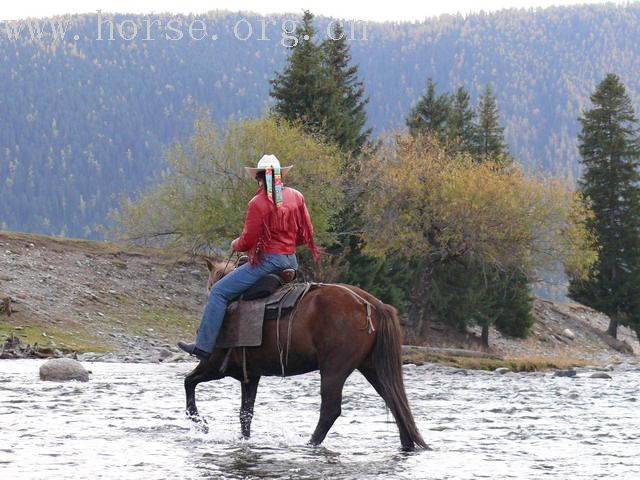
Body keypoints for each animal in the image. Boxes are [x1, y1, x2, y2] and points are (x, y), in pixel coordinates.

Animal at [182, 258, 428, 450]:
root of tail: (373, 304)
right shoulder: (250, 377)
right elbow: (246, 414)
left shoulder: (214, 366)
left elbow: (189, 382)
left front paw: (201, 424)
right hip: (372, 368)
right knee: (396, 403)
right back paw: (407, 445)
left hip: (334, 370)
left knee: (330, 410)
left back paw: (310, 443)